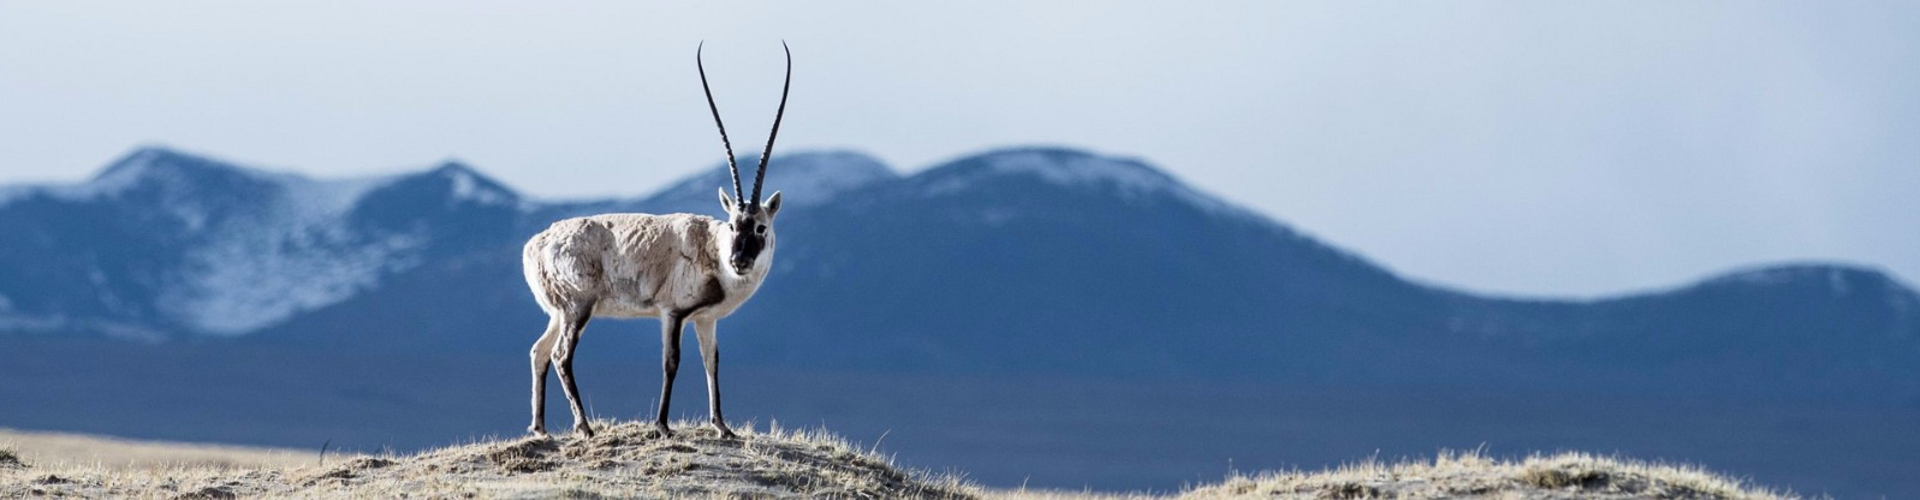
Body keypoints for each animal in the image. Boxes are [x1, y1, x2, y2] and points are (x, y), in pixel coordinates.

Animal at [522, 43, 791, 440]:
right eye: (732, 225)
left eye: (758, 227)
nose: (739, 261)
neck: (712, 249)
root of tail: (536, 246)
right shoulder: (672, 312)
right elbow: (671, 362)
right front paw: (663, 425)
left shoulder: (706, 320)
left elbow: (712, 362)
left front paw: (723, 427)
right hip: (577, 307)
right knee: (560, 355)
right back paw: (584, 427)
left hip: (558, 311)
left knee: (539, 351)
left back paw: (540, 428)